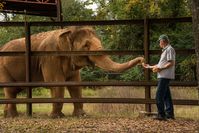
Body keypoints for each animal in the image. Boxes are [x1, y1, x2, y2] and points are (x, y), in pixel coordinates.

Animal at [0, 26, 144, 117]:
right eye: (86, 45)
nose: (142, 60)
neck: (68, 31)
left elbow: (75, 84)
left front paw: (82, 115)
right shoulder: (50, 57)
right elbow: (56, 83)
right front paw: (56, 116)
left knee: (14, 90)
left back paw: (6, 115)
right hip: (3, 68)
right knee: (11, 89)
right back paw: (13, 116)